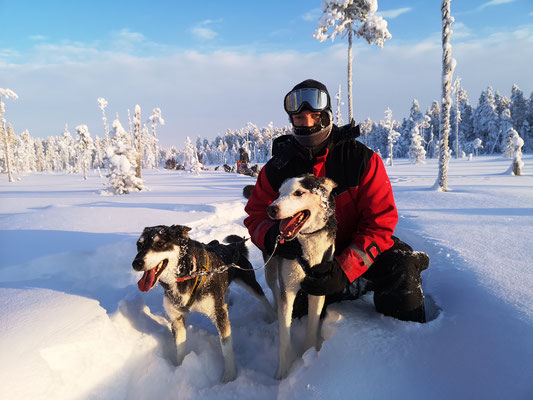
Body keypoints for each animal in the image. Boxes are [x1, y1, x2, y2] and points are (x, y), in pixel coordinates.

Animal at [132, 223, 274, 382]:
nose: (136, 263)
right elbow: (180, 348)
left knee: (263, 298)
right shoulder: (177, 319)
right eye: (139, 245)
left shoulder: (219, 314)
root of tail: (233, 246)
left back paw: (273, 316)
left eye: (160, 243)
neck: (187, 274)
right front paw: (179, 370)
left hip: (250, 282)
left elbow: (226, 348)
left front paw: (230, 376)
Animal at [264, 173, 336, 380]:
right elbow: (284, 337)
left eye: (299, 193)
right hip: (270, 270)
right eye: (279, 192)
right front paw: (283, 371)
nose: (271, 208)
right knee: (274, 289)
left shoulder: (318, 288)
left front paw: (308, 356)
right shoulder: (288, 290)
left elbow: (312, 325)